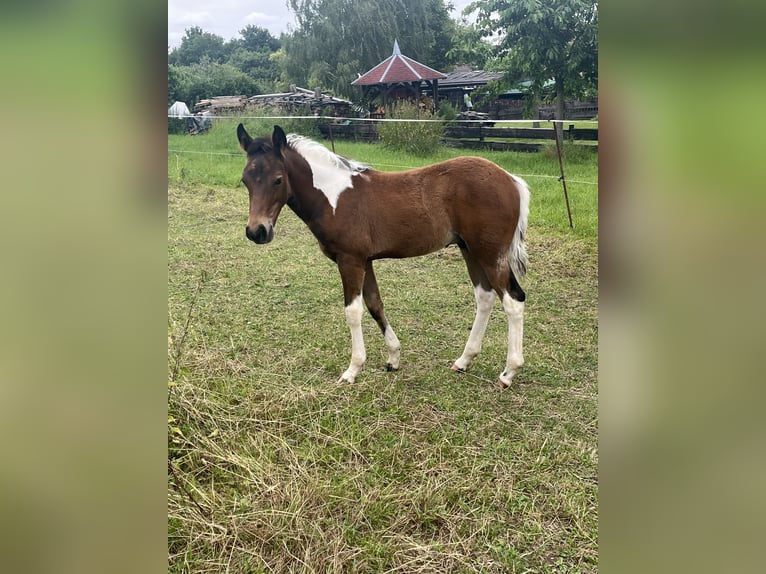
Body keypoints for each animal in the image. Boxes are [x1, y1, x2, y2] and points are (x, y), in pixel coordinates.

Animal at [237, 124, 530, 389]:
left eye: (278, 179)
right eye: (245, 180)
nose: (257, 231)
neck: (332, 197)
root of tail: (511, 180)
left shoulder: (350, 260)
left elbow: (353, 311)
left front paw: (352, 370)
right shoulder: (365, 260)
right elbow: (375, 305)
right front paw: (393, 358)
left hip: (490, 253)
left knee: (513, 301)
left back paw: (508, 373)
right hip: (469, 249)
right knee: (485, 297)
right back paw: (464, 361)